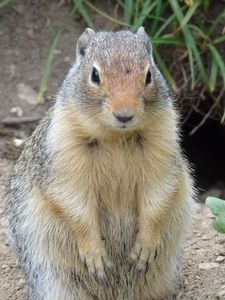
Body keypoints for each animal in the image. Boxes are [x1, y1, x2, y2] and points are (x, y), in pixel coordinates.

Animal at [5, 27, 195, 298]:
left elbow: (157, 198)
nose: (124, 114)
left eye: (149, 74)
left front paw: (143, 250)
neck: (116, 136)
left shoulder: (163, 150)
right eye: (94, 75)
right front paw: (96, 258)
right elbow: (76, 207)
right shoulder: (64, 158)